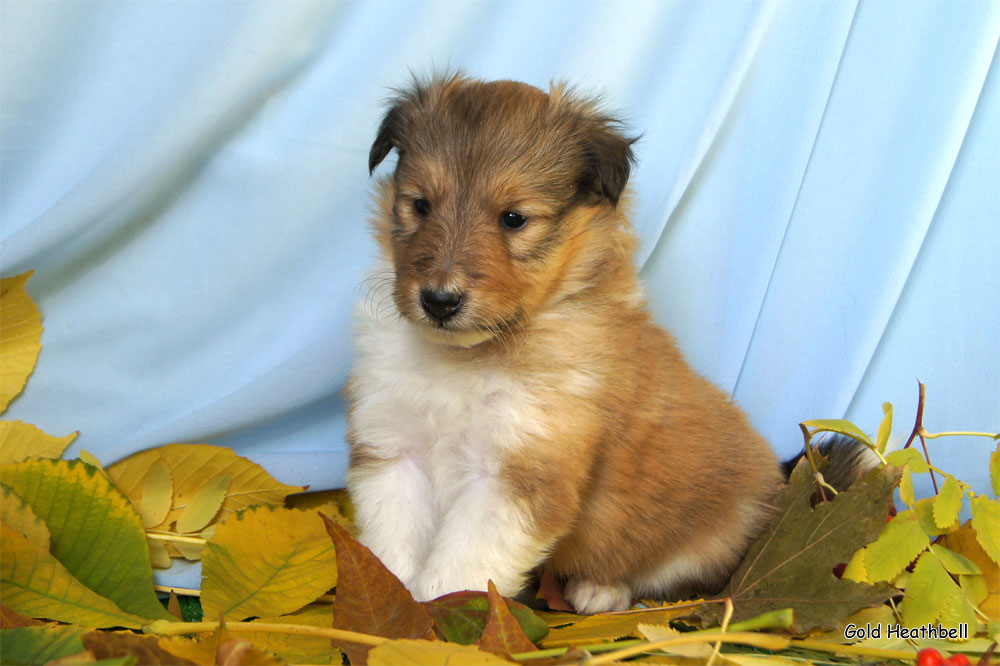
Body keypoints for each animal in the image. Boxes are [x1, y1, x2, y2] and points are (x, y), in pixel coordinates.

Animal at [348, 74, 784, 612]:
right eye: (421, 205)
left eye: (514, 218)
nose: (439, 301)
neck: (466, 358)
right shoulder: (394, 450)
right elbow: (392, 545)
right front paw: (385, 609)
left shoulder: (518, 474)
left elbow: (459, 571)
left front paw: (440, 617)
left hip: (705, 535)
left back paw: (600, 590)